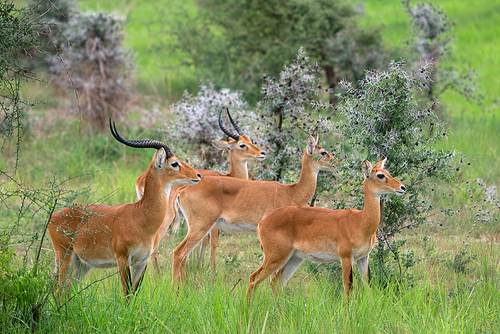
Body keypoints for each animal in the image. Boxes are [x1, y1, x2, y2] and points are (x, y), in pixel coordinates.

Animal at [47, 120, 200, 298]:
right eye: (174, 163)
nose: (198, 175)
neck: (140, 216)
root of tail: (54, 215)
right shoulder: (123, 259)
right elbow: (126, 292)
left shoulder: (142, 261)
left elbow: (134, 293)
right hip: (65, 257)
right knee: (58, 289)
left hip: (82, 263)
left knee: (68, 288)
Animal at [133, 109, 266, 272]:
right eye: (242, 145)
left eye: (250, 140)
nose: (262, 153)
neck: (229, 176)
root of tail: (141, 179)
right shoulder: (213, 223)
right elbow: (213, 242)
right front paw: (212, 270)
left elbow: (204, 242)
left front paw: (200, 266)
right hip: (167, 217)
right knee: (157, 240)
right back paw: (157, 272)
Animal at [172, 134, 336, 284]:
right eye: (323, 152)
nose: (336, 162)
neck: (290, 191)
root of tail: (184, 188)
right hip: (201, 226)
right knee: (179, 252)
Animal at [246, 158, 406, 302]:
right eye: (380, 175)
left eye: (388, 172)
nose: (402, 187)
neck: (361, 222)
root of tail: (262, 222)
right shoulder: (346, 257)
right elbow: (348, 289)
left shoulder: (363, 258)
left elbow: (368, 287)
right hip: (275, 256)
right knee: (253, 278)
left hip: (294, 258)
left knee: (276, 282)